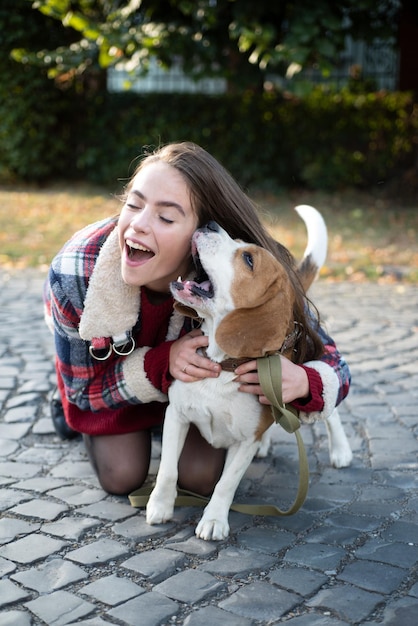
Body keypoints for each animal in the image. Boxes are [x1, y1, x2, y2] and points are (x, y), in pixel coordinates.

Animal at [147, 207, 352, 540]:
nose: (208, 223)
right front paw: (160, 506)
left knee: (329, 405)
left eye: (248, 259)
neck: (222, 366)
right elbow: (168, 469)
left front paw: (214, 520)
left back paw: (341, 450)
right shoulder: (176, 415)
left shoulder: (246, 441)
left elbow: (225, 483)